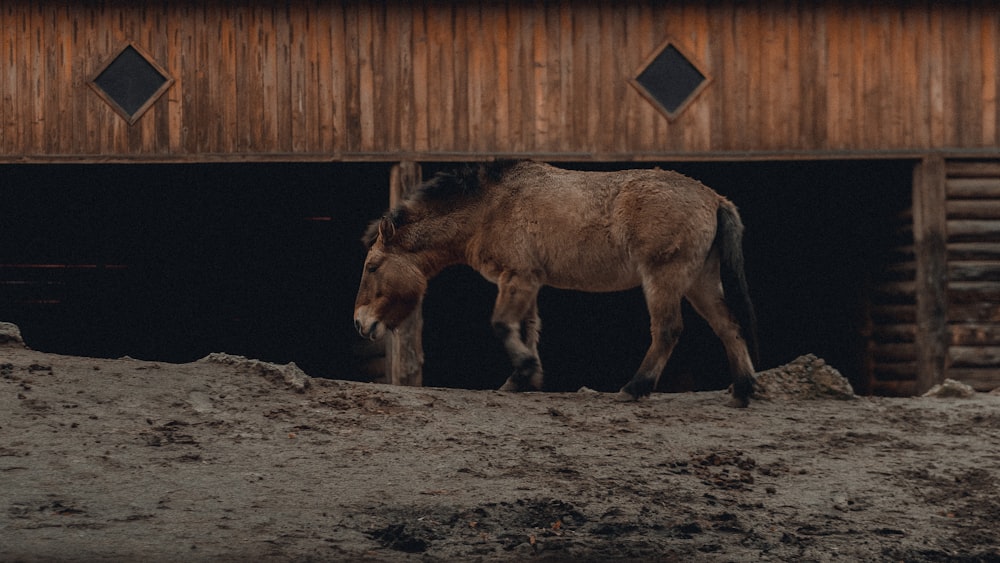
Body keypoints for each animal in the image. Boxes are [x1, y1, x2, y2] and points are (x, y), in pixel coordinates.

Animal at [356, 161, 752, 408]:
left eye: (373, 266)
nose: (360, 323)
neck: (490, 207)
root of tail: (714, 198)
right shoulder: (527, 281)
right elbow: (528, 328)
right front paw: (523, 379)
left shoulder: (517, 277)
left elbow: (502, 325)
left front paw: (524, 371)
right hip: (699, 281)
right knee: (728, 326)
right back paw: (743, 390)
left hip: (664, 278)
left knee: (668, 330)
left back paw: (634, 387)